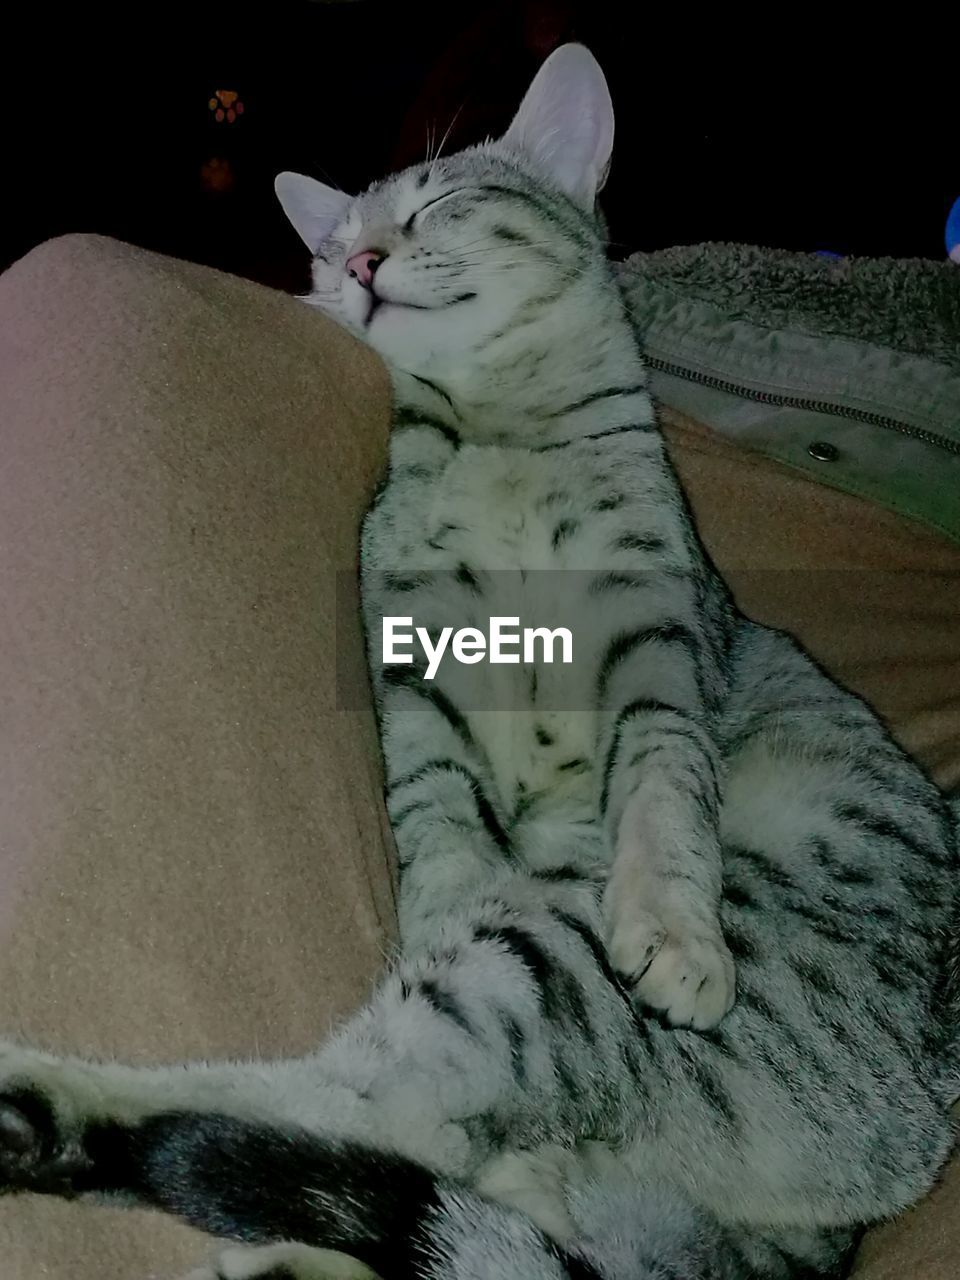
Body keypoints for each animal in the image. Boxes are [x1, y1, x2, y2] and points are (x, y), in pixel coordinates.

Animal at [1, 42, 960, 1280]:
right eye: (330, 246)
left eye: (434, 205)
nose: (359, 263)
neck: (503, 437)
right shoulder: (411, 661)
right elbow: (435, 804)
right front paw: (446, 881)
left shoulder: (657, 644)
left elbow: (662, 782)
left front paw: (673, 925)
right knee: (396, 1137)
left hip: (552, 961)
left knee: (378, 1125)